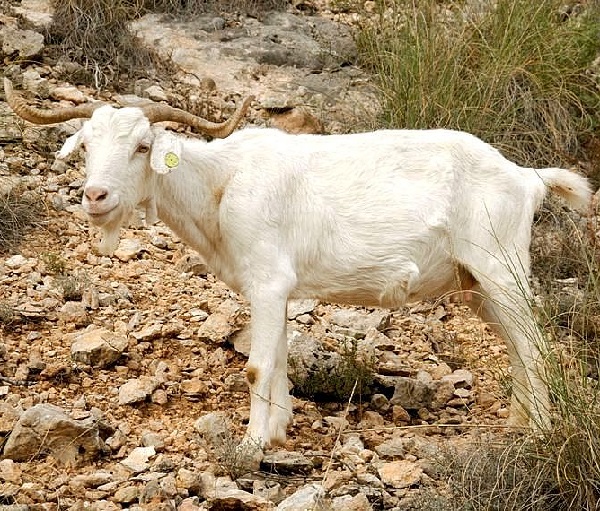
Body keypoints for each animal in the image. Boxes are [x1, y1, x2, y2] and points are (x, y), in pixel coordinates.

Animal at [7, 79, 592, 448]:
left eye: (142, 146)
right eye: (86, 145)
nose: (96, 196)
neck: (221, 183)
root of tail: (527, 177)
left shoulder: (268, 282)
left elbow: (255, 365)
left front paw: (251, 445)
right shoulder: (277, 292)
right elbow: (280, 361)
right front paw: (279, 431)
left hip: (501, 266)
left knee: (535, 345)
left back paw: (540, 433)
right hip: (477, 284)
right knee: (517, 346)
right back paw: (518, 422)